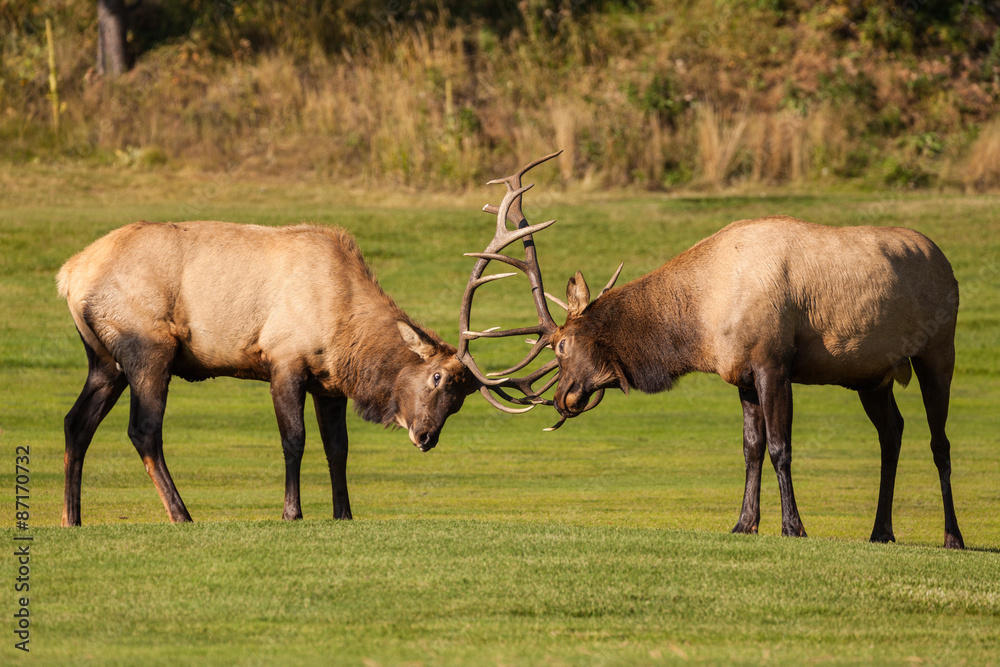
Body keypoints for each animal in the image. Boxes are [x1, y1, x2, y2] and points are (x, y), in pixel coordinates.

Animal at [57, 220, 477, 526]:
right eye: (436, 377)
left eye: (460, 400)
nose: (426, 436)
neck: (346, 335)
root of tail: (69, 275)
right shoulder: (284, 361)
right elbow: (294, 440)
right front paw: (292, 512)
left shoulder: (329, 386)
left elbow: (337, 448)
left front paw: (343, 513)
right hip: (148, 348)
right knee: (144, 429)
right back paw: (181, 514)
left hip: (104, 362)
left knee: (76, 422)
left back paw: (71, 518)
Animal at [458, 152, 964, 549]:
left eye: (562, 345)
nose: (562, 397)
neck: (700, 322)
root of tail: (947, 262)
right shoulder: (742, 374)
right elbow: (751, 448)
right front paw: (744, 523)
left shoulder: (773, 362)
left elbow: (780, 446)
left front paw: (793, 527)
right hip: (871, 375)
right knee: (892, 433)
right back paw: (881, 531)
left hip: (939, 349)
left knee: (939, 440)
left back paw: (952, 536)